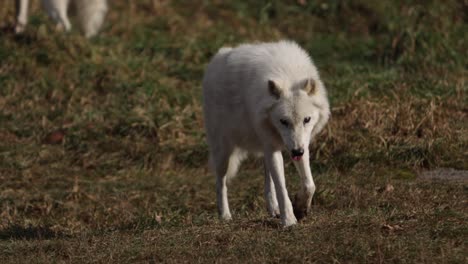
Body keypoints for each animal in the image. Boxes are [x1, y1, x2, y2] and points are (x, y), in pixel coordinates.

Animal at [203, 39, 330, 227]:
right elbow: (282, 188)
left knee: (267, 179)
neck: (288, 73)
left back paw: (273, 209)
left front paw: (300, 208)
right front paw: (289, 221)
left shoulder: (300, 144)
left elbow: (309, 184)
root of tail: (217, 57)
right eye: (283, 121)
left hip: (265, 148)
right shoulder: (275, 146)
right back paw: (225, 215)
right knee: (220, 182)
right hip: (223, 151)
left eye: (307, 120)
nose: (296, 152)